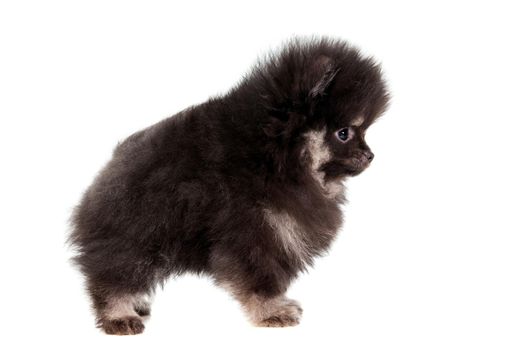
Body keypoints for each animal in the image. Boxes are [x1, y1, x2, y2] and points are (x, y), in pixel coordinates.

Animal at [68, 37, 388, 334]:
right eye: (344, 133)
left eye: (363, 131)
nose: (371, 155)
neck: (270, 156)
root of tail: (109, 169)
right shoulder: (253, 231)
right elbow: (260, 277)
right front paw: (271, 310)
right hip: (135, 233)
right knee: (113, 274)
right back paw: (119, 314)